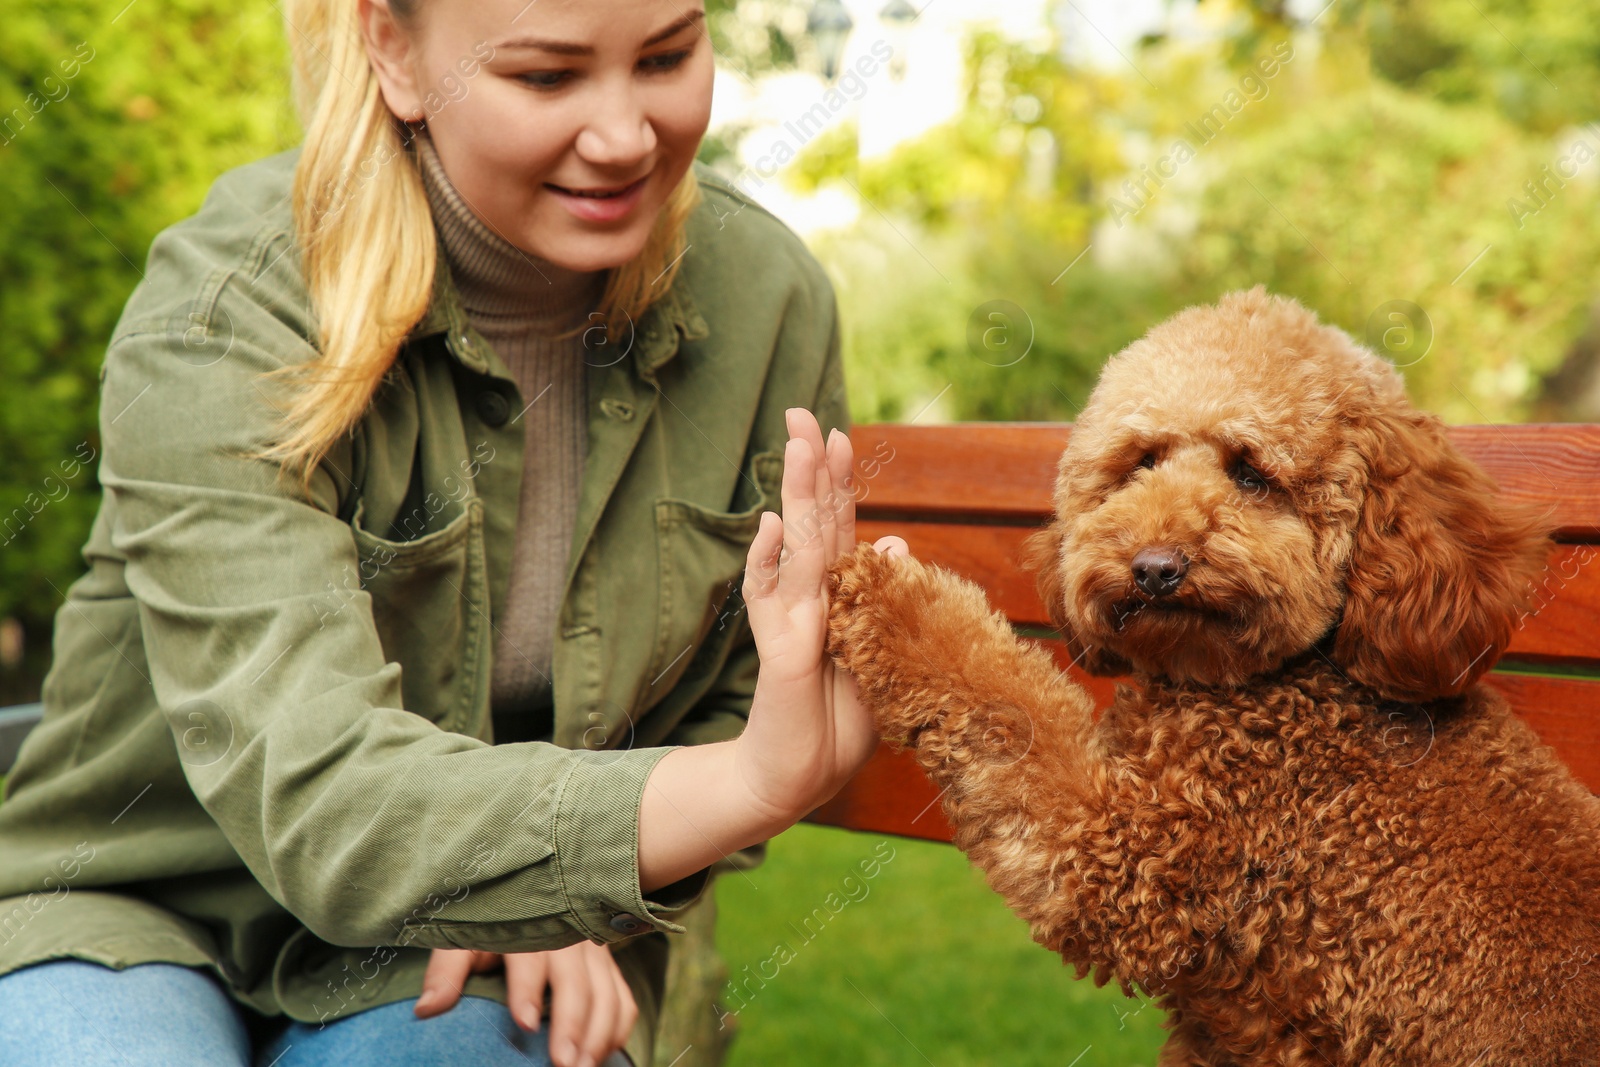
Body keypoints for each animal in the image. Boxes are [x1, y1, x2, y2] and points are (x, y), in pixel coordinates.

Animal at [825, 287, 1600, 1062]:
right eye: (1140, 462)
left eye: (1251, 473)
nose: (1155, 567)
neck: (1276, 687)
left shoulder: (1131, 858)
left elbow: (1006, 703)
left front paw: (894, 599)